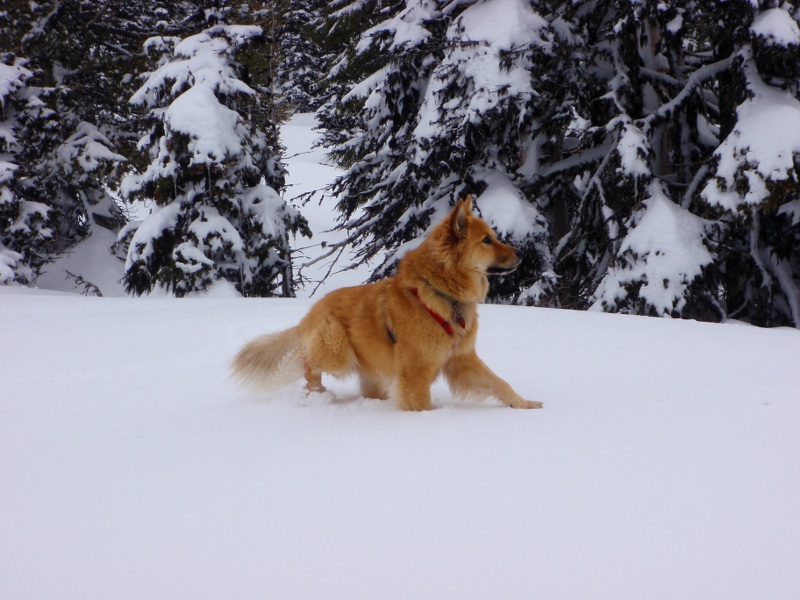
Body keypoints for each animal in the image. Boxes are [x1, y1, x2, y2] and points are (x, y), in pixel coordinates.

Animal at [231, 195, 544, 410]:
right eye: (487, 241)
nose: (522, 254)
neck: (442, 294)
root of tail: (310, 313)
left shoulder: (462, 359)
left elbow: (499, 382)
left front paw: (523, 403)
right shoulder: (415, 373)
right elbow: (420, 404)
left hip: (371, 370)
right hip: (338, 354)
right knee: (307, 362)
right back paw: (315, 394)